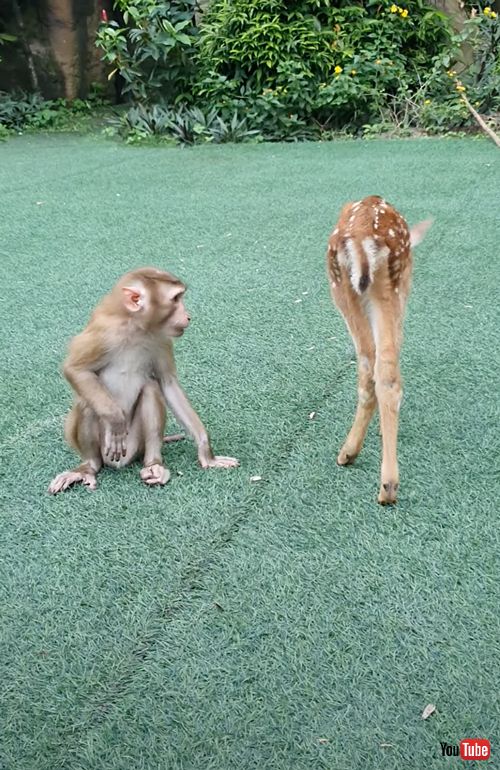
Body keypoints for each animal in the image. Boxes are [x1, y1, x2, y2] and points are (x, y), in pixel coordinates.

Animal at [326, 195, 432, 504]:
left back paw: (351, 456)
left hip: (344, 287)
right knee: (384, 371)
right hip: (390, 286)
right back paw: (387, 484)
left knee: (370, 367)